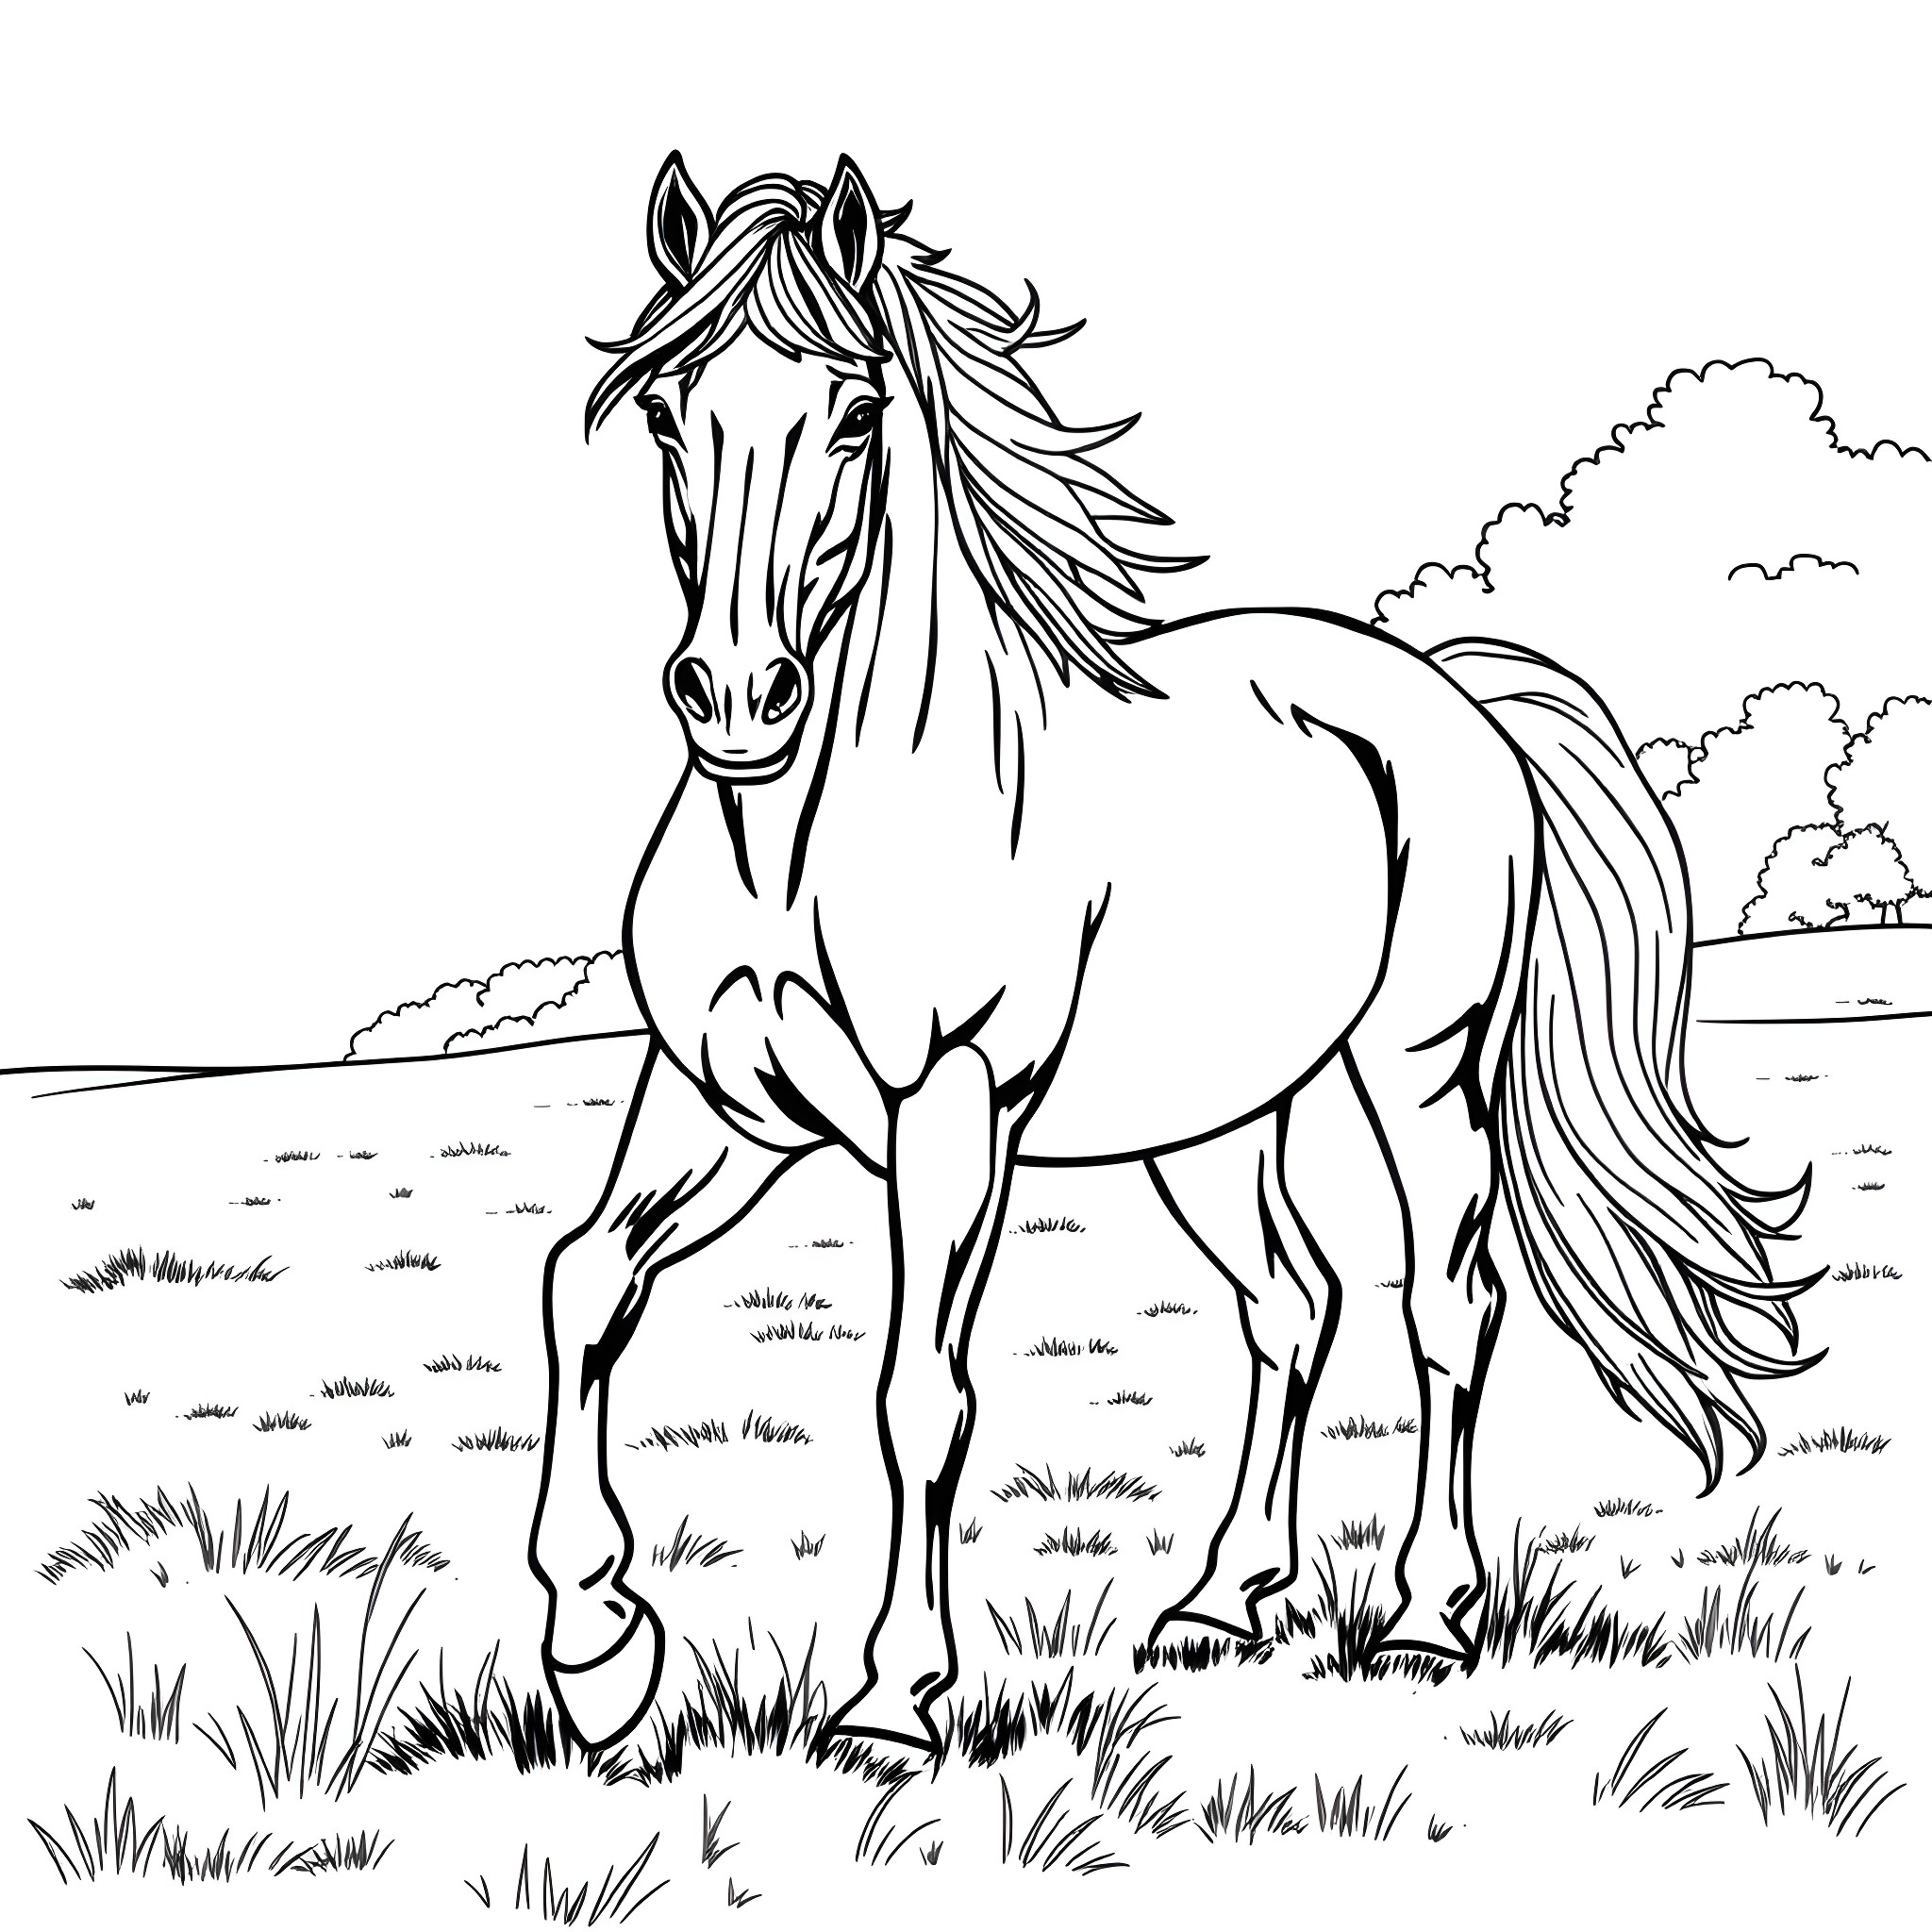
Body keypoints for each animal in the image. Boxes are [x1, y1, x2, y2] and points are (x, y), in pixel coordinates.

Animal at [528, 153, 1819, 1755]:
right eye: (664, 409)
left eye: (854, 413)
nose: (734, 694)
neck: (802, 841)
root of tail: (1455, 698)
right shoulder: (719, 1103)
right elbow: (582, 1282)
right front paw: (597, 1653)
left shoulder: (948, 1108)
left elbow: (918, 1392)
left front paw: (891, 1700)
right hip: (1213, 1121)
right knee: (1292, 1307)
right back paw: (1216, 1605)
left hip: (1419, 1072)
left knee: (1446, 1307)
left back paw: (1423, 1621)